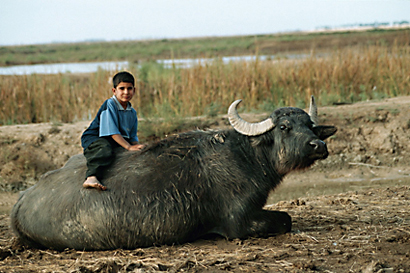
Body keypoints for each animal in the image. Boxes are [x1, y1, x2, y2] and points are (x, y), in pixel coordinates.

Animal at [10, 96, 336, 250]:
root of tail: (22, 200)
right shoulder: (239, 223)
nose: (318, 145)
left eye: (310, 125)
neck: (246, 156)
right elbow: (286, 219)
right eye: (284, 127)